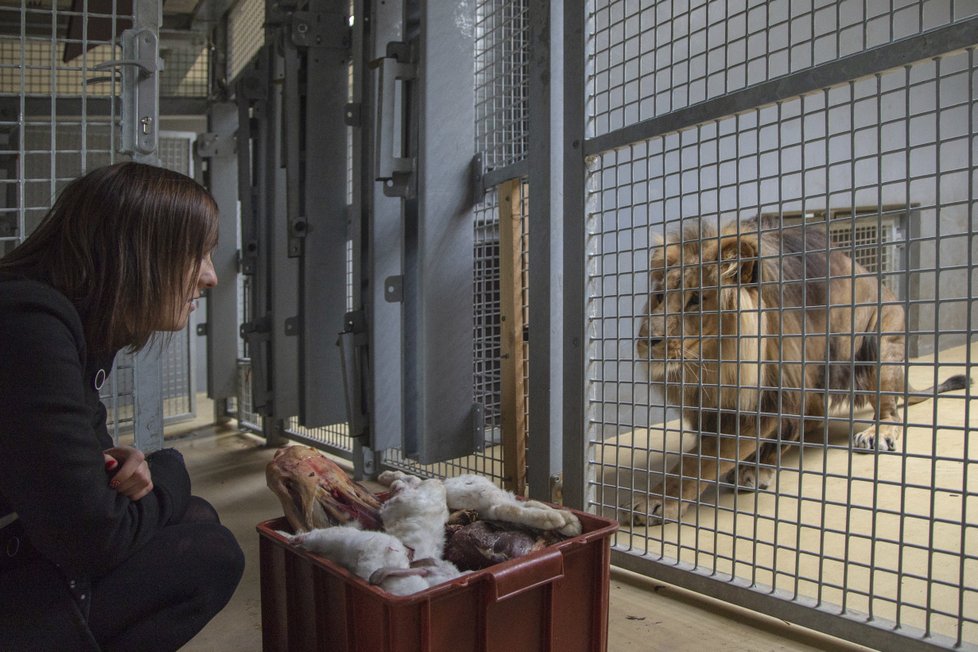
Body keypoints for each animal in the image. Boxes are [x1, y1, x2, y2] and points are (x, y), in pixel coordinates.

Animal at [632, 218, 968, 524]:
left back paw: (876, 433)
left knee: (890, 412)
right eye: (660, 296)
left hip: (879, 347)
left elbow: (701, 460)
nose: (648, 340)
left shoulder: (771, 395)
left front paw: (656, 500)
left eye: (697, 300)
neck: (715, 364)